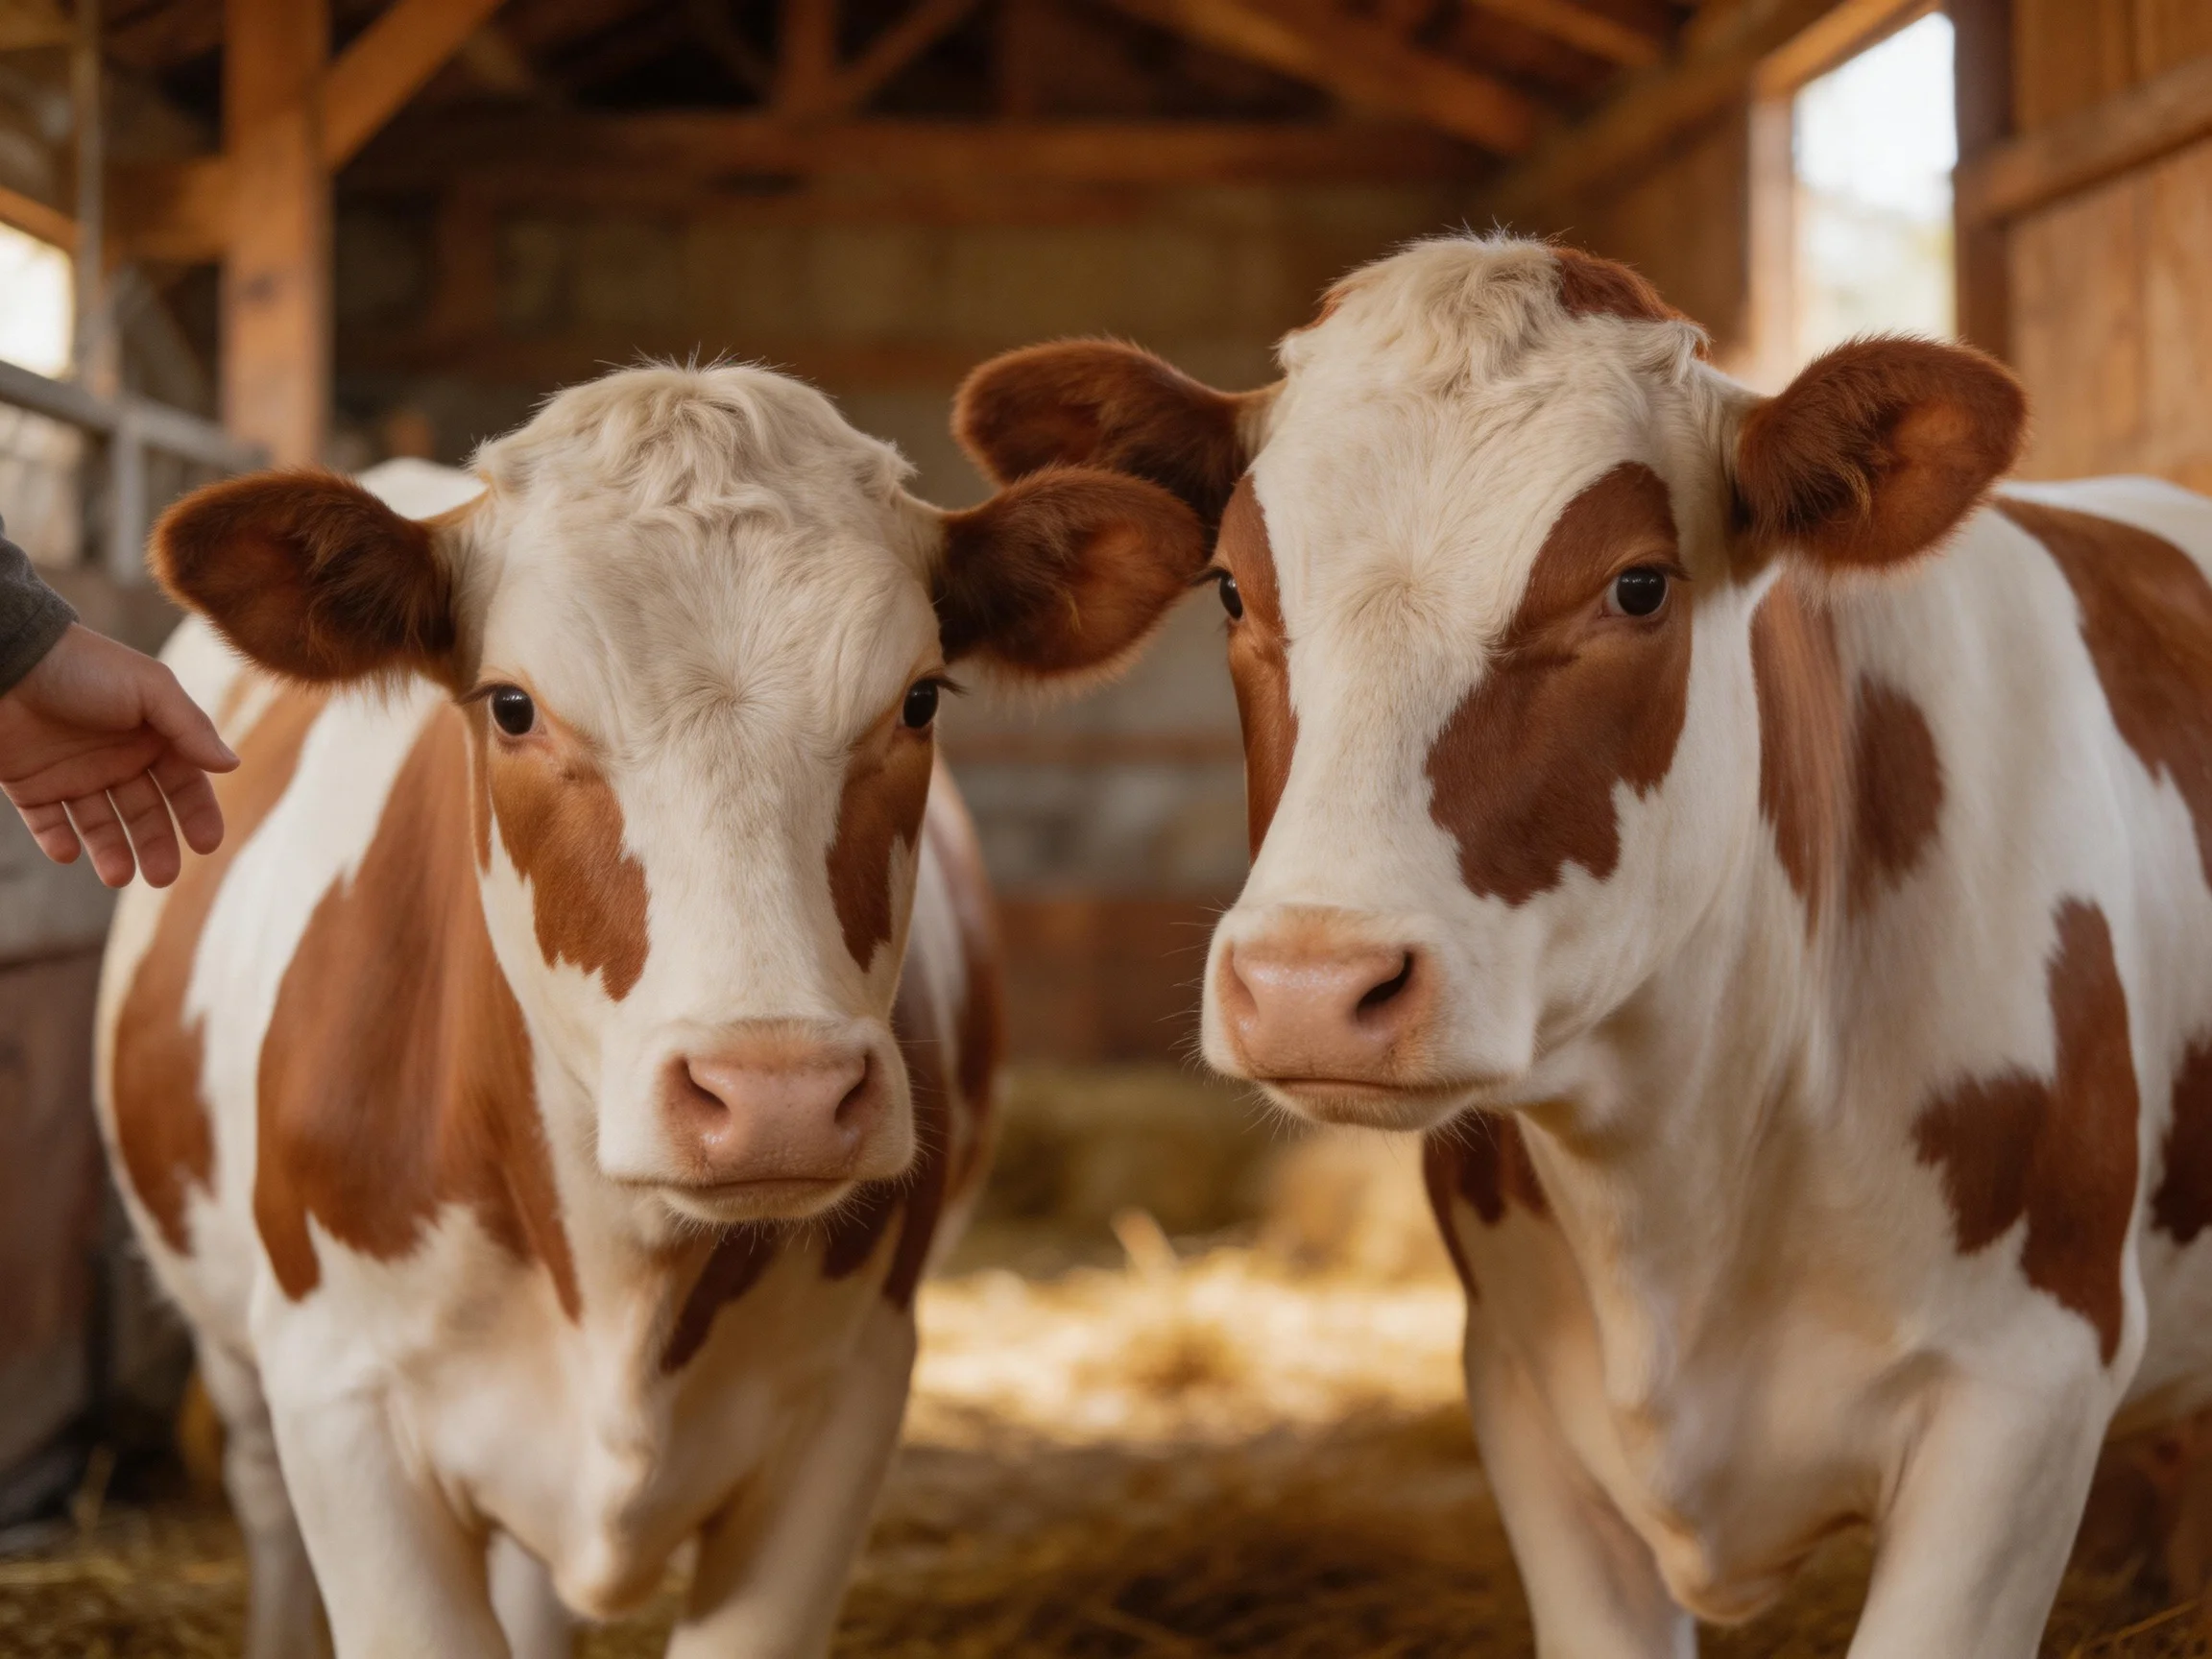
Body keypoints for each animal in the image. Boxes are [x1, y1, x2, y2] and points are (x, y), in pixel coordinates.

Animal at [93, 364, 1205, 1659]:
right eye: (512, 706)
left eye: (920, 699)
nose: (777, 1095)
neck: (622, 1275)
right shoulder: (339, 1400)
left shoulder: (851, 1397)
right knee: (263, 1504)